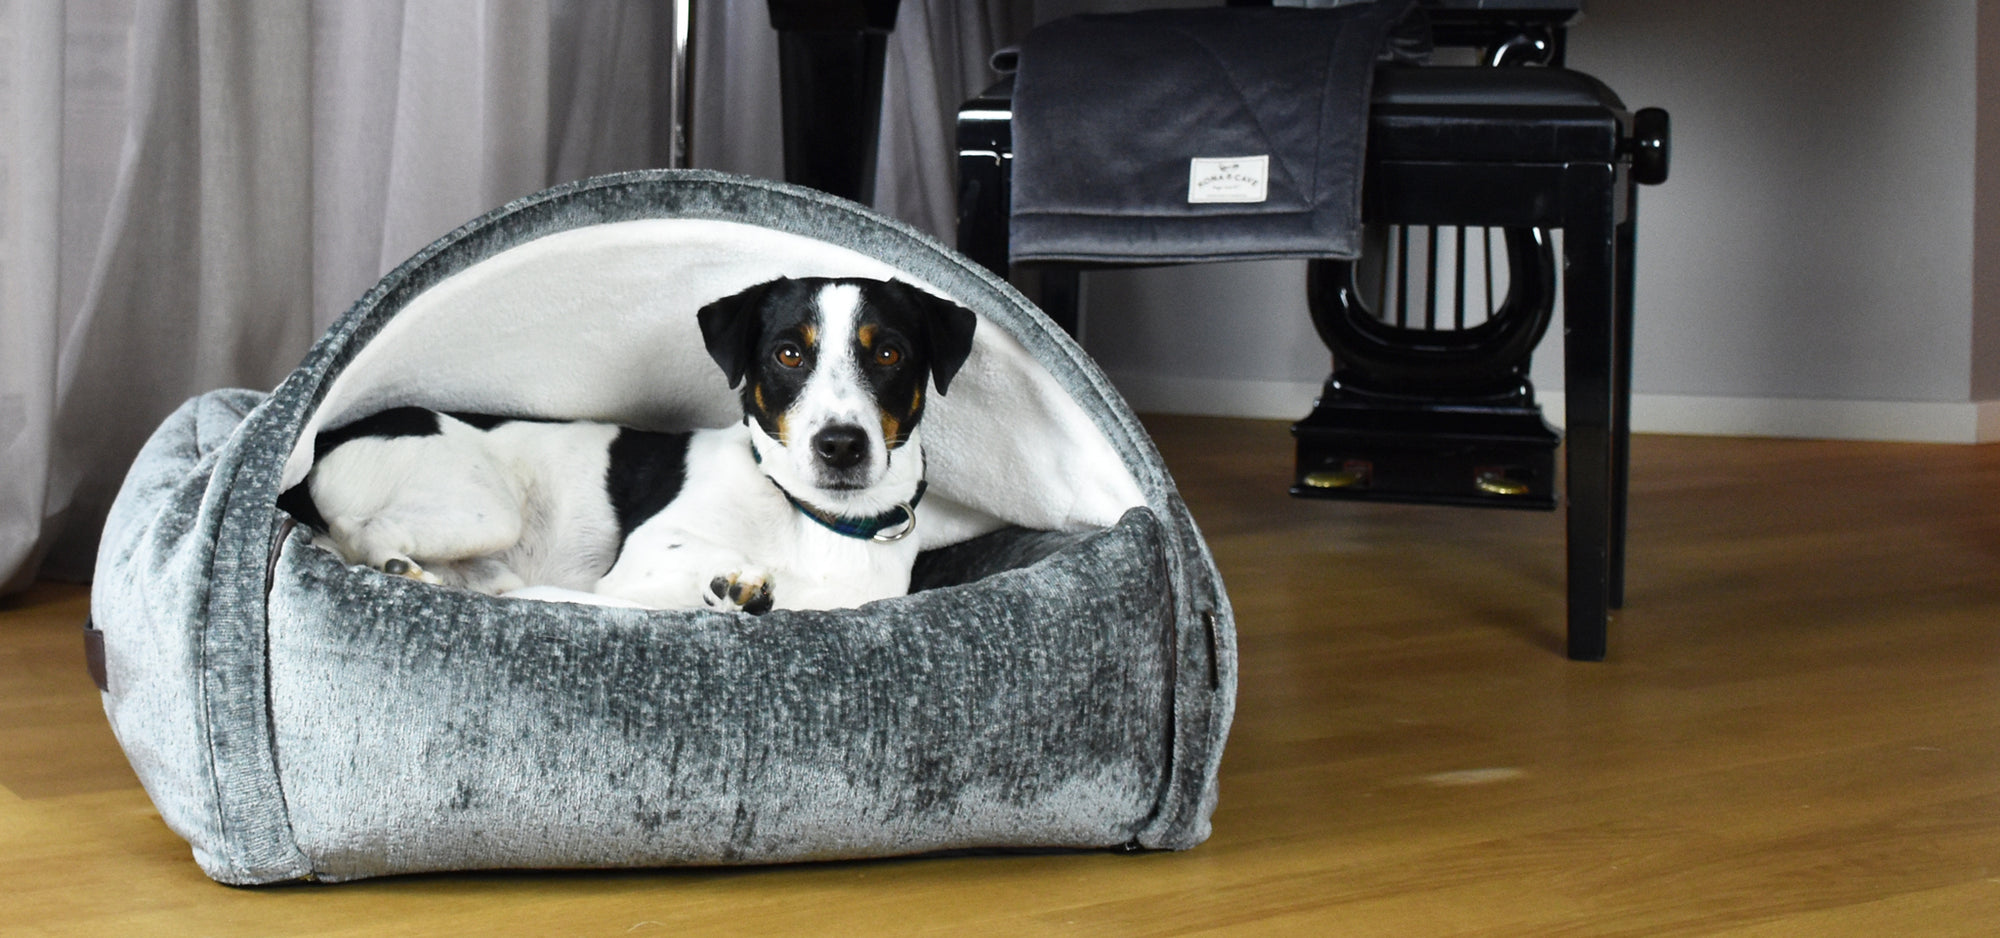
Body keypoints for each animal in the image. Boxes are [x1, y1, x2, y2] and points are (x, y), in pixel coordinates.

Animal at [274, 276, 976, 616]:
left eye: (888, 354)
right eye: (788, 354)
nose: (841, 445)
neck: (808, 517)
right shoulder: (640, 565)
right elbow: (706, 557)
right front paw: (737, 582)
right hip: (482, 510)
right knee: (366, 535)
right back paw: (398, 568)